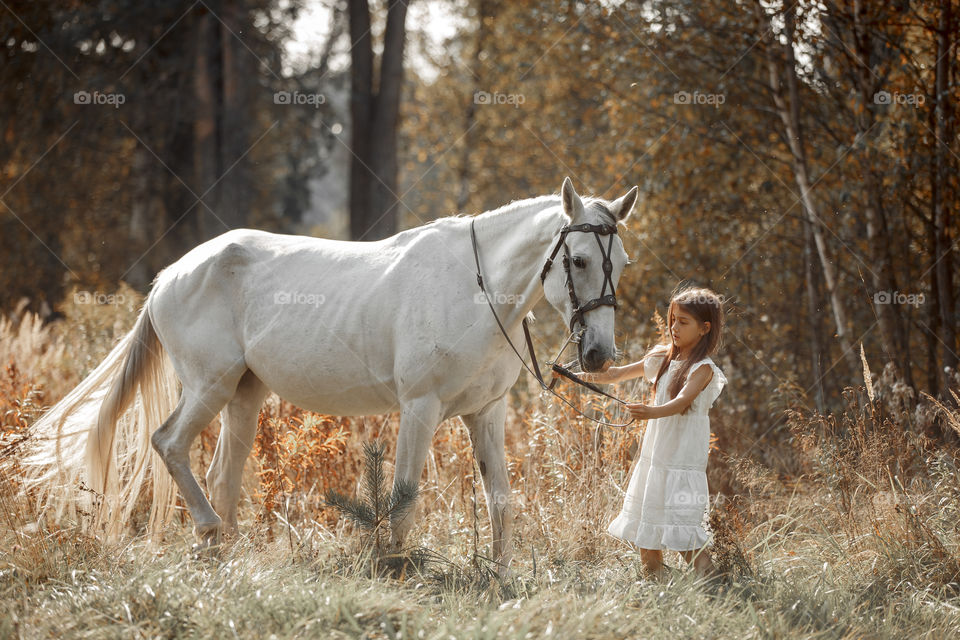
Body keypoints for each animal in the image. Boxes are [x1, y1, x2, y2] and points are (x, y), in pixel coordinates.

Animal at [18, 178, 632, 572]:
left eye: (621, 262)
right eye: (579, 259)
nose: (599, 354)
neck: (475, 291)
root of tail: (172, 274)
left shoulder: (486, 413)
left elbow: (500, 499)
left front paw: (503, 579)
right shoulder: (421, 408)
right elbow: (404, 500)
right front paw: (394, 568)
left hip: (243, 394)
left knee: (223, 474)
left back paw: (226, 552)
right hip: (209, 387)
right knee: (169, 443)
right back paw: (210, 532)